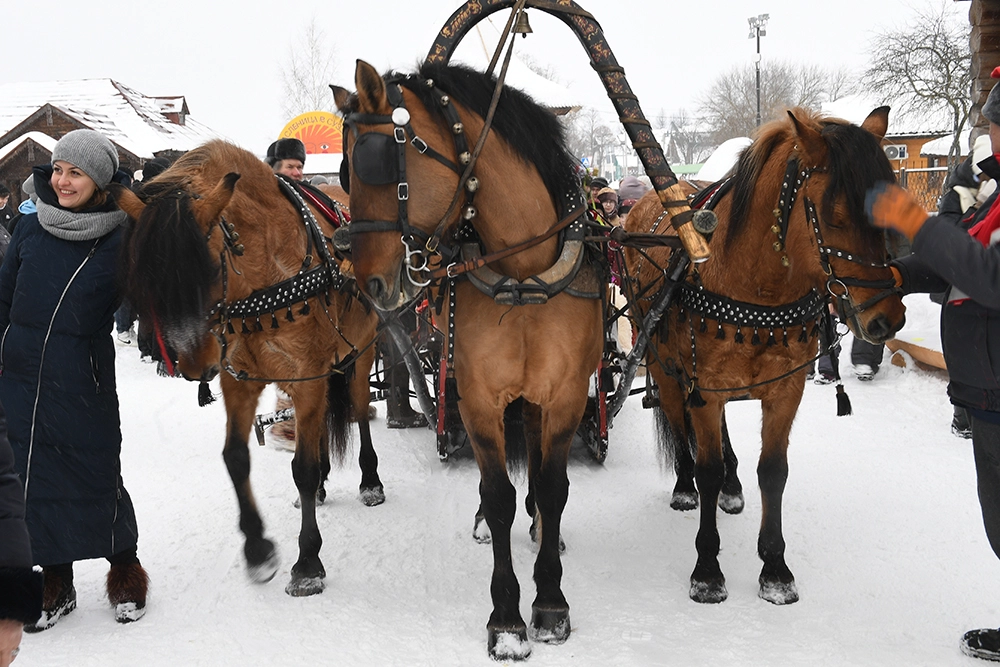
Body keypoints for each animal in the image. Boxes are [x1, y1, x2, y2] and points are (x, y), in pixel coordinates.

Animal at [111, 142, 380, 600]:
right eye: (145, 280)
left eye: (207, 271)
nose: (191, 364)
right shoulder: (239, 379)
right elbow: (236, 458)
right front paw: (257, 549)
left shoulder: (305, 375)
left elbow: (302, 469)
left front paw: (307, 562)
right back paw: (325, 483)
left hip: (362, 352)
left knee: (360, 410)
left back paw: (370, 480)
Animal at [334, 60, 600, 660]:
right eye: (342, 172)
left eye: (372, 163)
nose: (370, 287)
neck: (523, 274)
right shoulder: (478, 398)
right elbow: (497, 494)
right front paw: (507, 620)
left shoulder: (567, 394)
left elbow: (553, 487)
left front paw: (551, 603)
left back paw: (541, 527)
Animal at [628, 108, 912, 604]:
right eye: (835, 217)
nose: (886, 318)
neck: (756, 286)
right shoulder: (705, 385)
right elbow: (706, 467)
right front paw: (707, 569)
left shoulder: (784, 389)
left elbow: (774, 471)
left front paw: (775, 567)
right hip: (666, 367)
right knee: (679, 422)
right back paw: (684, 485)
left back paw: (732, 485)